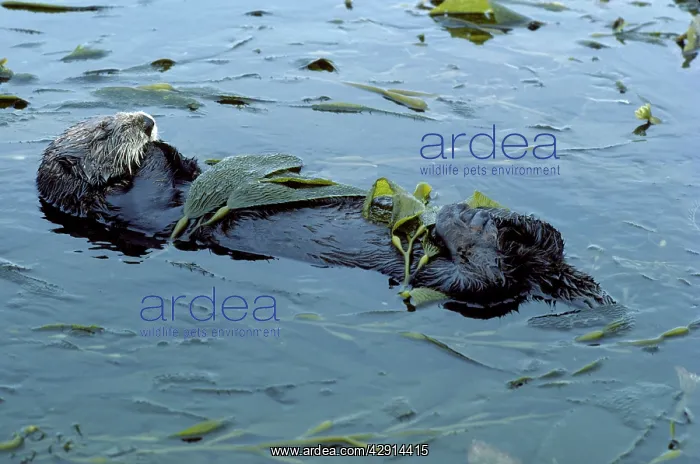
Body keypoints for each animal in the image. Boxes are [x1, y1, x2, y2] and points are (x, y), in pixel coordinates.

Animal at [35, 111, 616, 320]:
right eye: (104, 131)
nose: (145, 118)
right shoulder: (132, 209)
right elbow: (151, 187)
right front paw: (151, 146)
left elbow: (193, 169)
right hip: (448, 280)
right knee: (489, 275)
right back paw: (465, 223)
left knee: (542, 242)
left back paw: (498, 217)